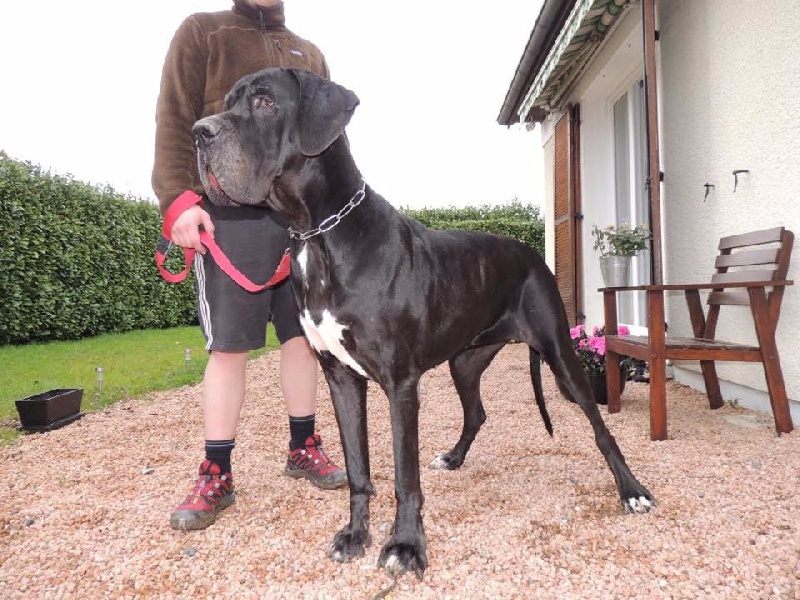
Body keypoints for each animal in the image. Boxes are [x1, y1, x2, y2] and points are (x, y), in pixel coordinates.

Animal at [193, 68, 655, 579]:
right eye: (227, 101)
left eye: (264, 101)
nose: (199, 133)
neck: (317, 233)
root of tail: (532, 252)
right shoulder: (340, 379)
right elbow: (358, 468)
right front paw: (355, 534)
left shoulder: (400, 383)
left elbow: (404, 476)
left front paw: (406, 546)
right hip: (465, 361)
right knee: (477, 412)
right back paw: (454, 457)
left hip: (560, 353)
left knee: (599, 427)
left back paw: (633, 491)